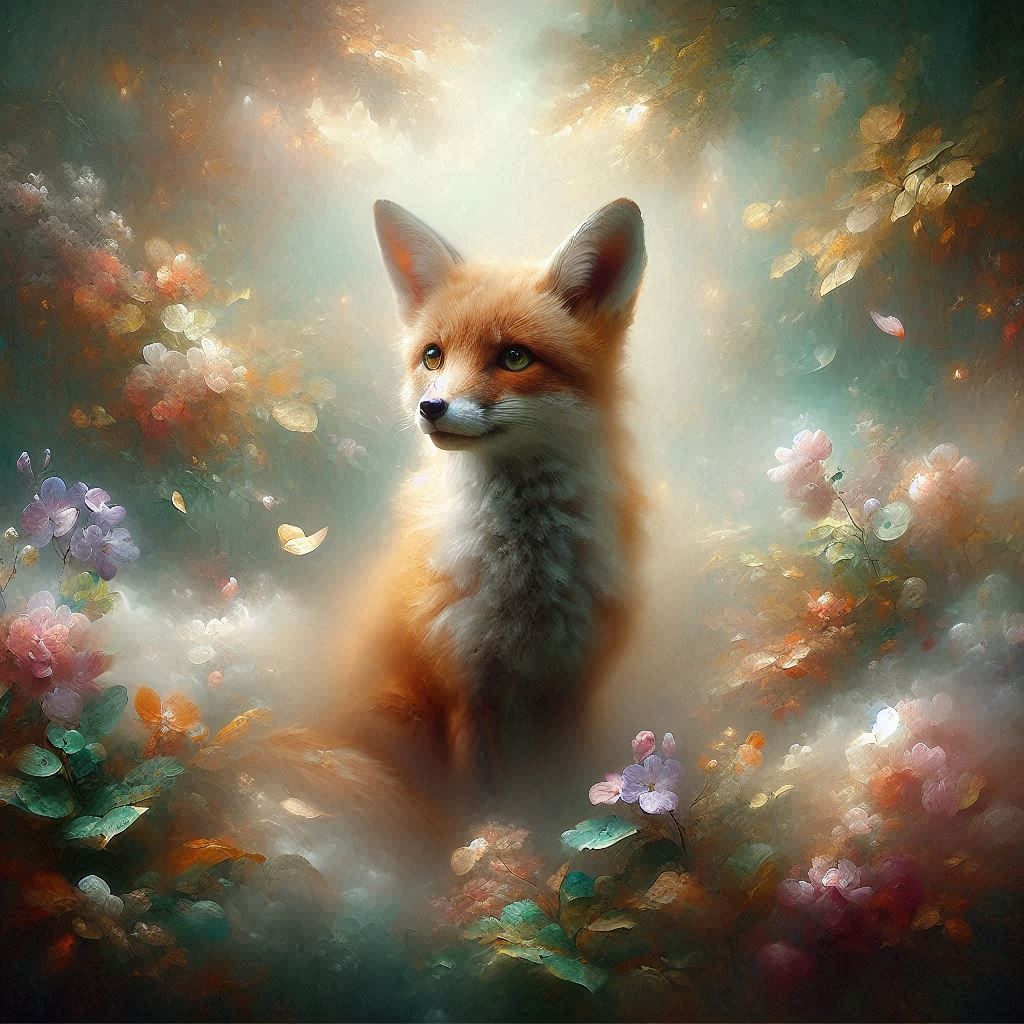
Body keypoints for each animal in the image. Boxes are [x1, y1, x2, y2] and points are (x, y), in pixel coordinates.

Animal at [269, 198, 648, 848]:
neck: (525, 587)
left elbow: (564, 786)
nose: (431, 407)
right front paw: (487, 849)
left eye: (515, 357)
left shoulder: (571, 690)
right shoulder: (463, 690)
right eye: (433, 356)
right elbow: (479, 800)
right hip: (396, 714)